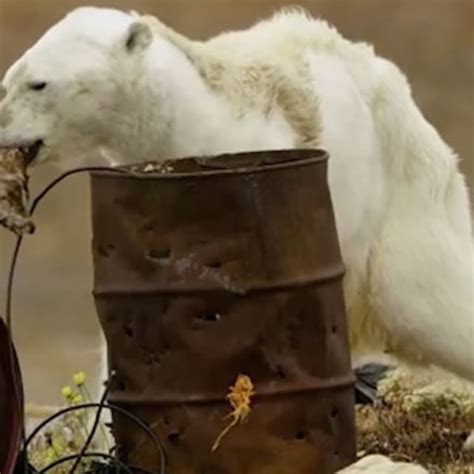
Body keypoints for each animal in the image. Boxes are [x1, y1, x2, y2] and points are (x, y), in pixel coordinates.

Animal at [0, 8, 472, 386]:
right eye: (8, 78)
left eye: (38, 84)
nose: (1, 126)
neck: (190, 123)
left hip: (399, 197)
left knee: (432, 300)